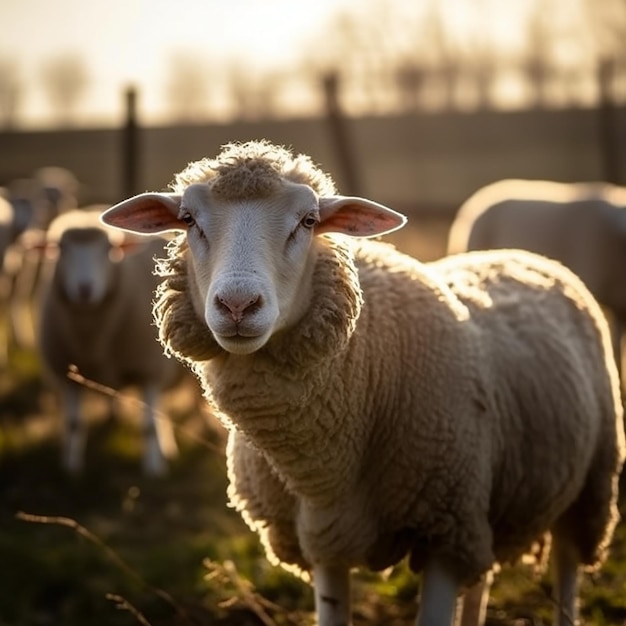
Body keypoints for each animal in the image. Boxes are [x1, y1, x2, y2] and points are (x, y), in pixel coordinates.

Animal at [38, 205, 179, 472]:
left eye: (109, 250)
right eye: (61, 249)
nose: (84, 289)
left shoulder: (149, 371)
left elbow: (148, 426)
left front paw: (153, 469)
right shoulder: (67, 374)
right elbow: (73, 423)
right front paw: (71, 468)